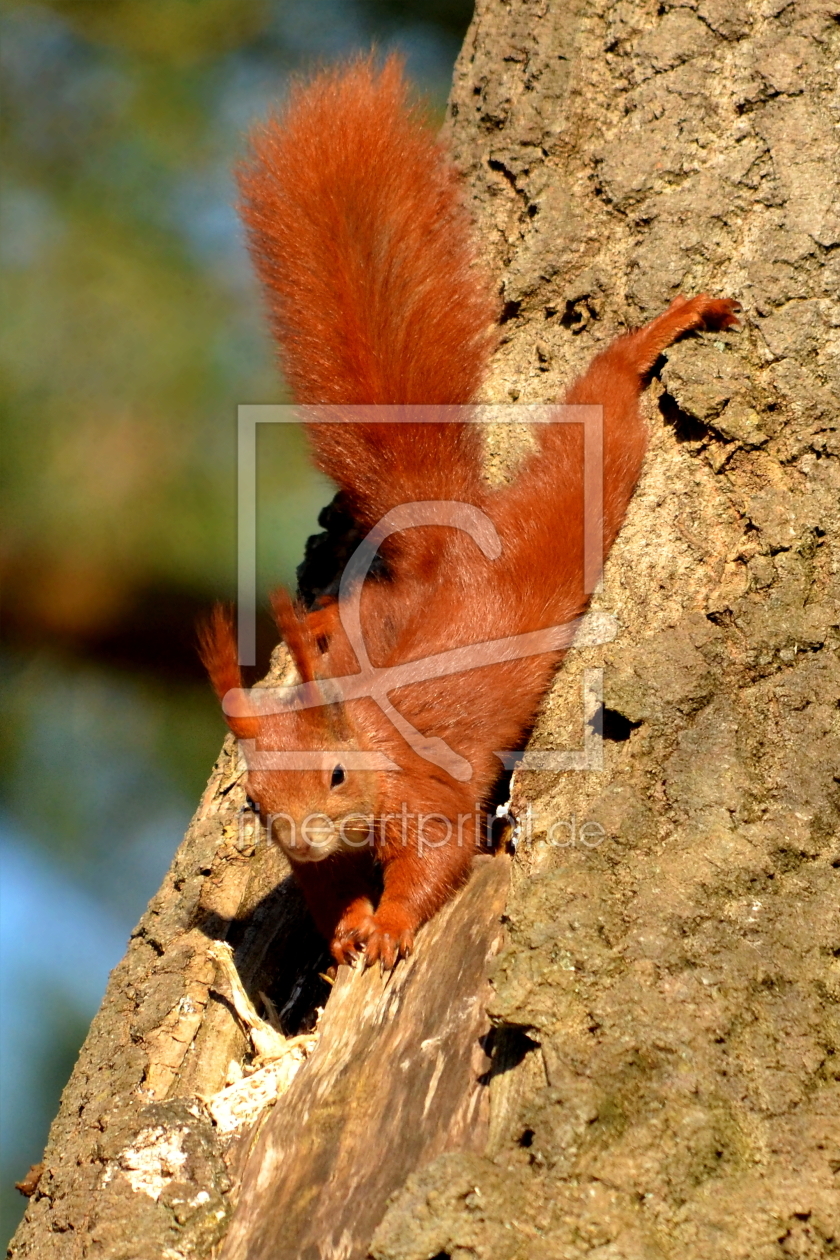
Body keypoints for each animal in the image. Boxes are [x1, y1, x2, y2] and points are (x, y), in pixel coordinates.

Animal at [200, 54, 740, 967]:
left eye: (337, 774)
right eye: (254, 801)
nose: (302, 835)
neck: (376, 749)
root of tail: (447, 546)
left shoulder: (432, 797)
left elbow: (437, 862)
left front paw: (386, 929)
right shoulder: (323, 865)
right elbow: (330, 894)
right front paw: (345, 933)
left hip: (564, 510)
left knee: (600, 422)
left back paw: (653, 337)